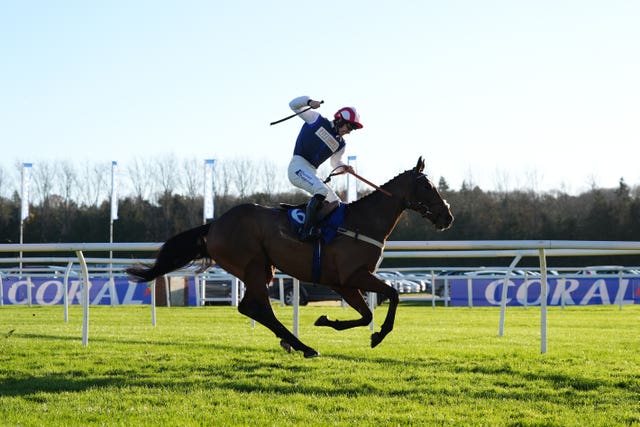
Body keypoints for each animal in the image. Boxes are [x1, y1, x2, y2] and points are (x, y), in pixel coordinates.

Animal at [127, 157, 452, 358]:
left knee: (253, 308)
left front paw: (329, 320)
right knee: (256, 308)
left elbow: (367, 314)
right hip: (253, 266)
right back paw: (302, 345)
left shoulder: (343, 283)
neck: (363, 222)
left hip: (263, 269)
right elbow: (392, 296)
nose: (446, 216)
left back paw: (293, 342)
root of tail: (214, 224)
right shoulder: (353, 275)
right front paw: (378, 334)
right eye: (427, 185)